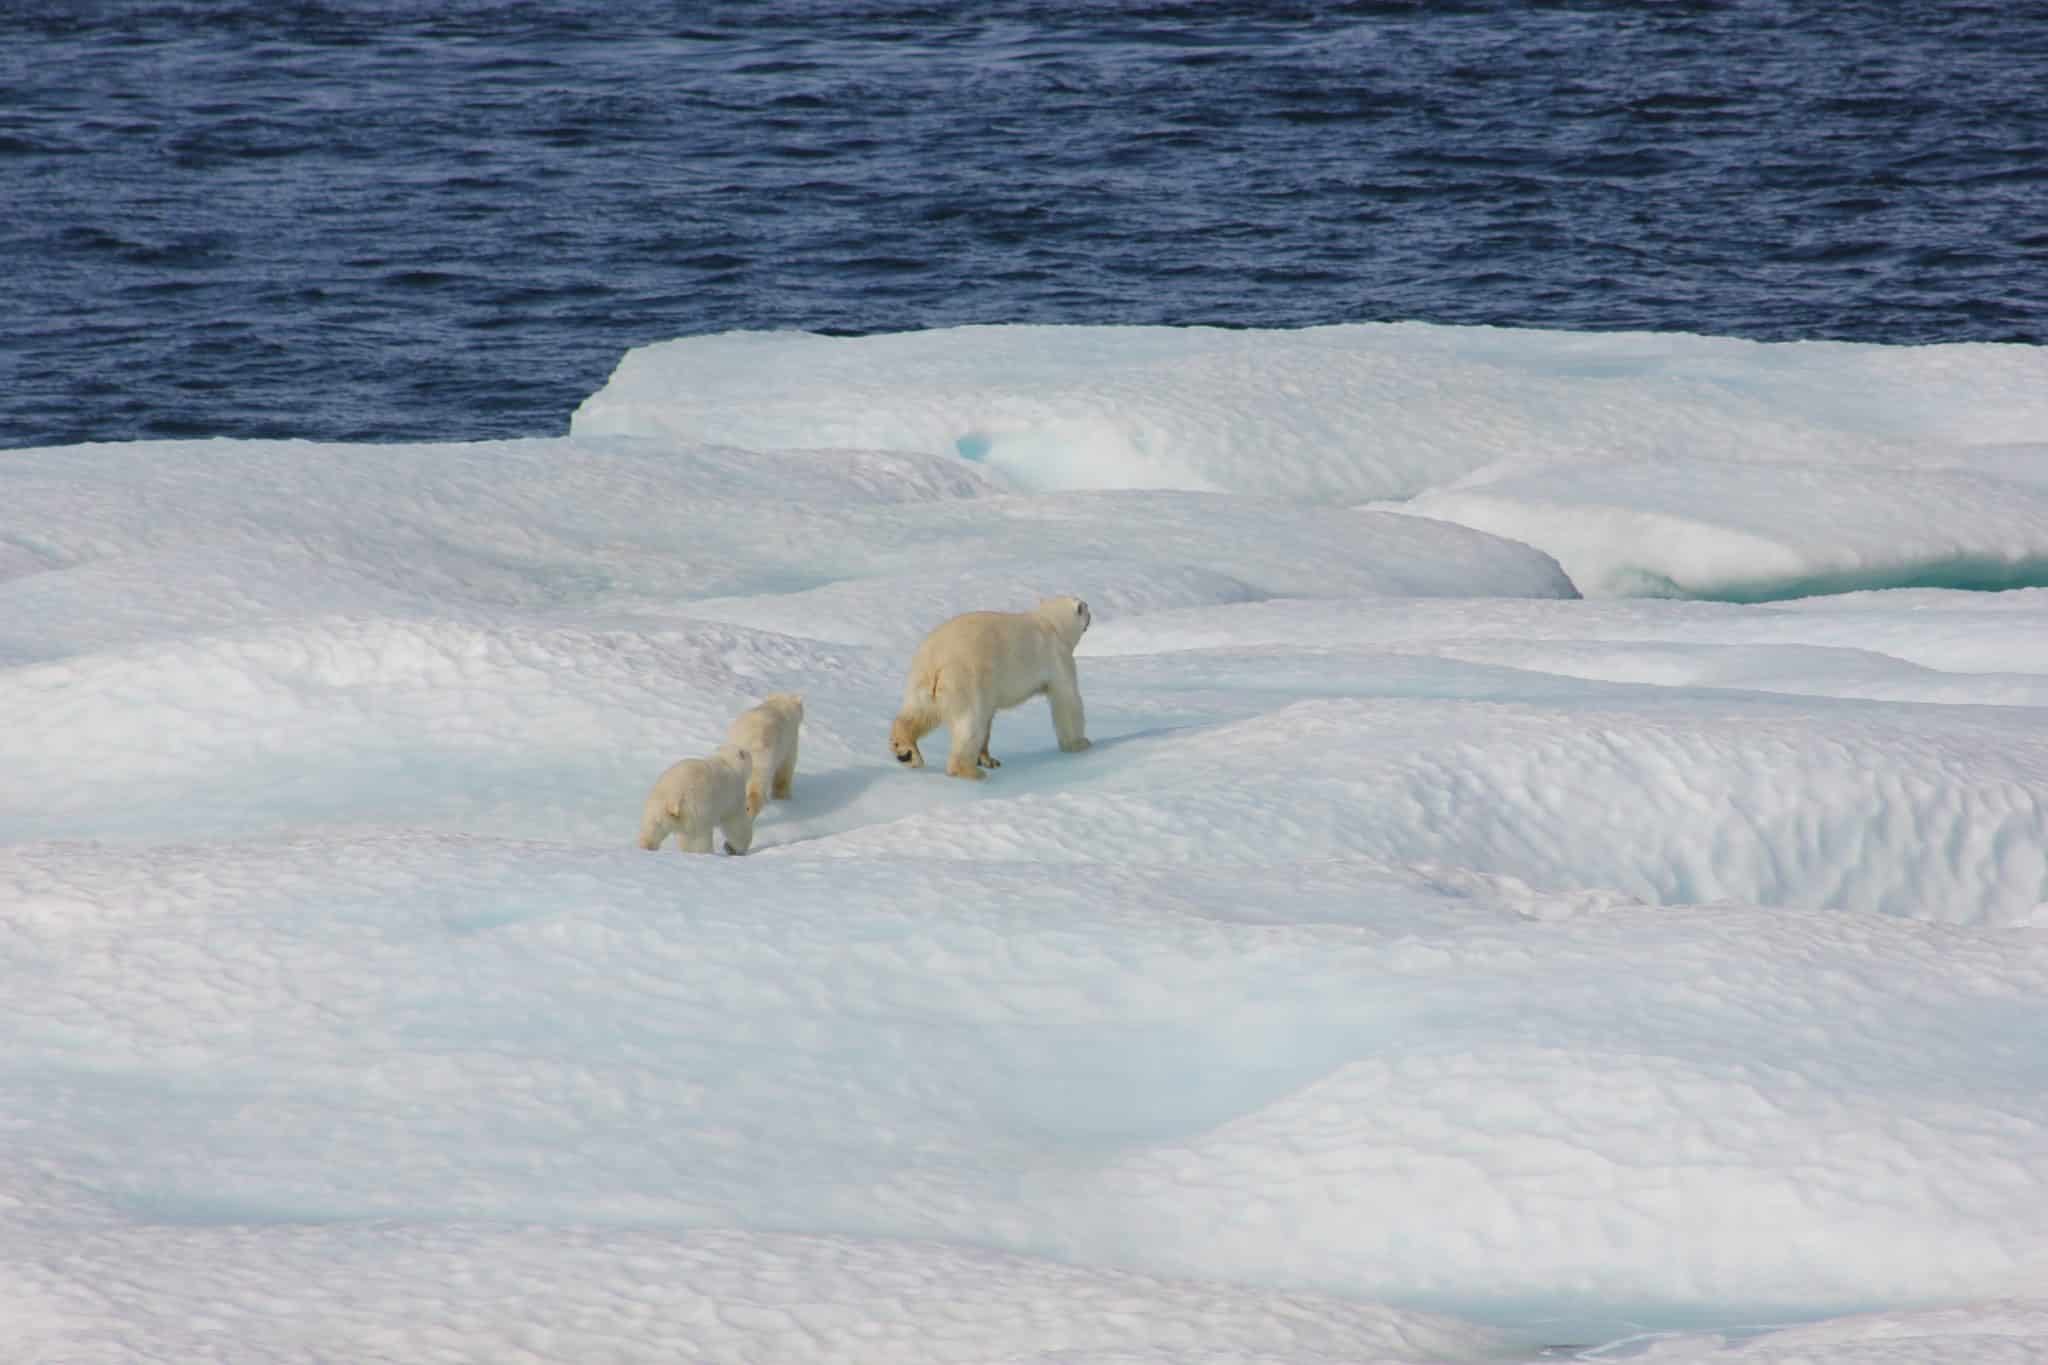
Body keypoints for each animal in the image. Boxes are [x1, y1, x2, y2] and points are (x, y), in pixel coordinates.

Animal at [892, 593, 1097, 777]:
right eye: (1085, 607)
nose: (1091, 614)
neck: (1051, 623)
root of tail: (937, 658)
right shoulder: (1057, 657)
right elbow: (1067, 700)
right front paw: (1080, 743)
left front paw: (988, 759)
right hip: (966, 678)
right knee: (969, 723)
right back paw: (970, 771)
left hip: (922, 678)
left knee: (919, 713)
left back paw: (905, 752)